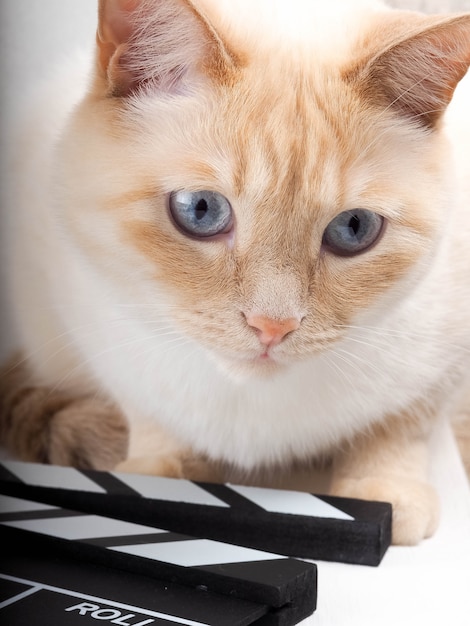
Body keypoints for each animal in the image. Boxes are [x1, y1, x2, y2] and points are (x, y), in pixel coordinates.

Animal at [0, 0, 470, 544]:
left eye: (354, 228)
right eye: (200, 210)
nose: (272, 327)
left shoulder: (446, 358)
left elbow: (399, 428)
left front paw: (384, 495)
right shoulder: (93, 325)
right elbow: (152, 420)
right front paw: (160, 476)